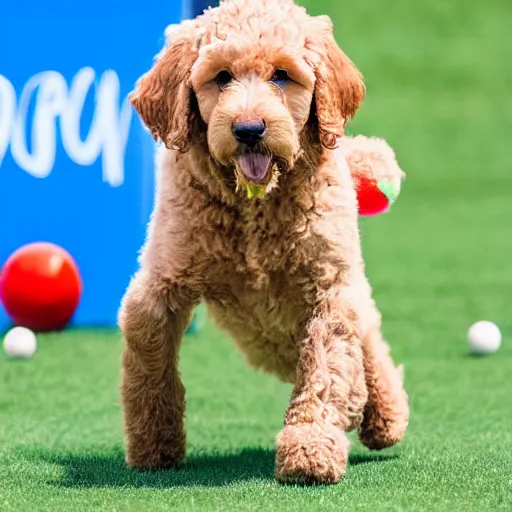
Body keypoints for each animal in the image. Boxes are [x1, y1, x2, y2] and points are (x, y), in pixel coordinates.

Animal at [119, 0, 408, 484]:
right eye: (220, 77)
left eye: (281, 75)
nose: (249, 129)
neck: (255, 205)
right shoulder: (160, 284)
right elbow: (150, 360)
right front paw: (153, 443)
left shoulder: (328, 286)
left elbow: (325, 369)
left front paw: (310, 447)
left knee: (367, 340)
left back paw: (383, 412)